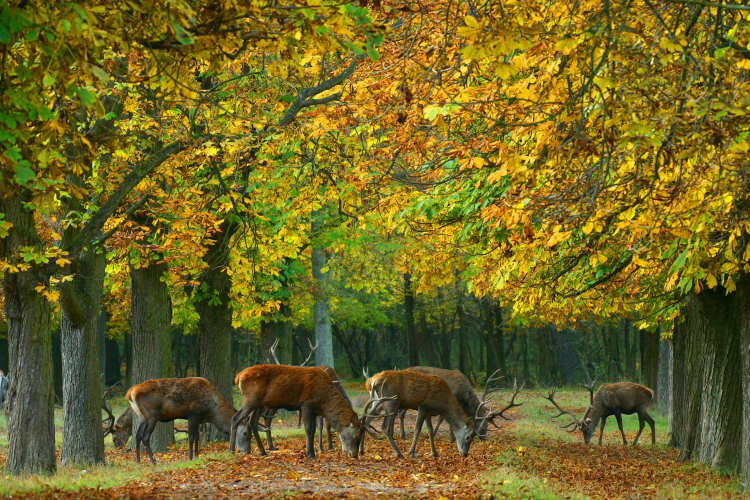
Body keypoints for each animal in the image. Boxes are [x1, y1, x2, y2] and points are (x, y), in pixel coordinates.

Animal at [231, 364, 388, 458]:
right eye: (356, 436)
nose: (354, 454)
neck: (323, 400)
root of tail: (238, 376)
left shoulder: (314, 410)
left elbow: (314, 430)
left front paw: (314, 451)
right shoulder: (306, 404)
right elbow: (309, 429)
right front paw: (310, 453)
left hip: (259, 403)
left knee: (252, 422)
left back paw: (262, 451)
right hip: (251, 399)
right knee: (236, 418)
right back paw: (231, 449)